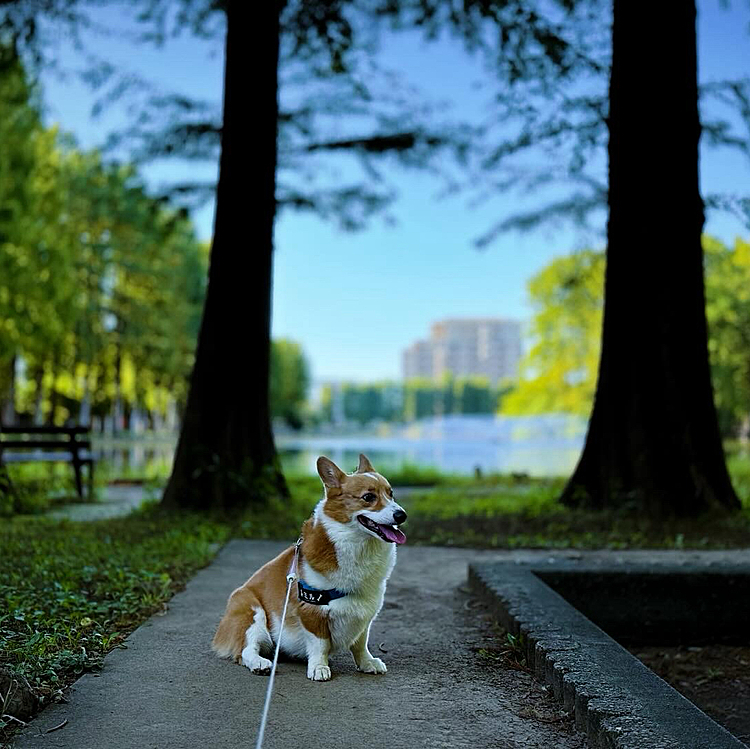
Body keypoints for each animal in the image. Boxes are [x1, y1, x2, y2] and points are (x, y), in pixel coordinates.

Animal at [212, 452, 408, 680]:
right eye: (368, 497)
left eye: (391, 494)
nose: (402, 515)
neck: (356, 547)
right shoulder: (312, 611)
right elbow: (320, 644)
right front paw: (319, 667)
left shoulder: (364, 614)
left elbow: (360, 643)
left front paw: (367, 663)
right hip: (251, 613)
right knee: (245, 651)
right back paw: (260, 663)